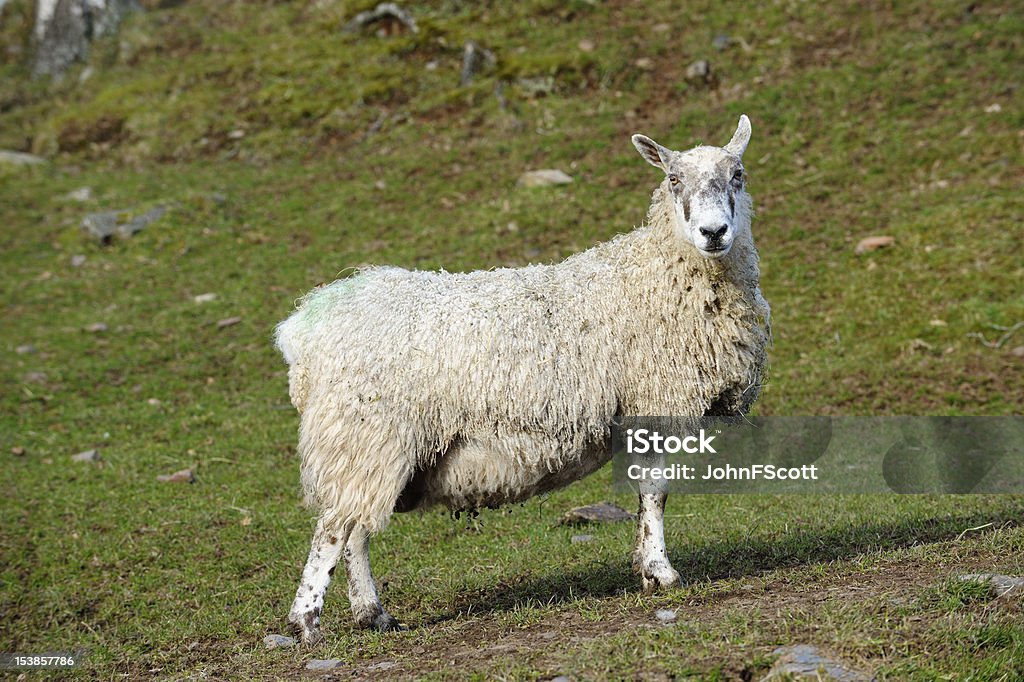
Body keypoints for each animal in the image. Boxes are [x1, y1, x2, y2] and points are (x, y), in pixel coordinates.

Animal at [274, 114, 770, 638]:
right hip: (363, 432)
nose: (713, 232)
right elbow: (654, 493)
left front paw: (644, 567)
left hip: (367, 446)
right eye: (673, 179)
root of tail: (305, 325)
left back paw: (371, 613)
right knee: (333, 529)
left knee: (355, 528)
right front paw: (662, 573)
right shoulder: (656, 400)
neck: (659, 274)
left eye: (738, 174)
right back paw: (305, 621)